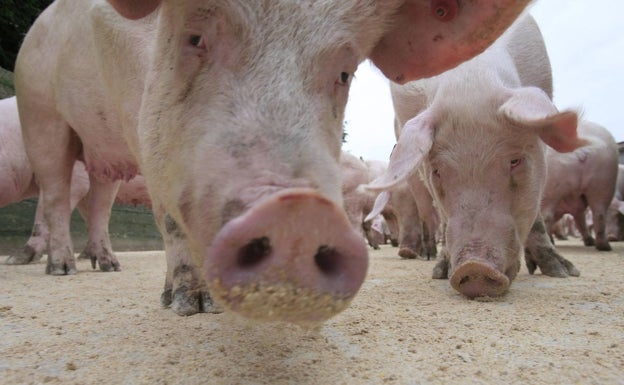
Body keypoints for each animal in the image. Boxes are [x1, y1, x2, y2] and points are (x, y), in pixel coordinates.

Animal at [15, 0, 532, 324]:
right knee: (56, 192)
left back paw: (108, 266)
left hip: (98, 157)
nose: (296, 210)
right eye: (195, 38)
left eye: (344, 72)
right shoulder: (137, 108)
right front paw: (191, 306)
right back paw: (61, 269)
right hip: (39, 110)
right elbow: (168, 206)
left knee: (99, 200)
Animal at [366, 14, 584, 296]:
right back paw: (426, 256)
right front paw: (441, 272)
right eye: (438, 170)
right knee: (426, 209)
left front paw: (564, 273)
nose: (474, 268)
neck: (470, 76)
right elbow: (443, 215)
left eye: (515, 161)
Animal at [540, 121, 620, 252]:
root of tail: (581, 149)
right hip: (605, 181)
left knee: (547, 216)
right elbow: (580, 221)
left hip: (552, 181)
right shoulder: (576, 206)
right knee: (600, 213)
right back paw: (603, 246)